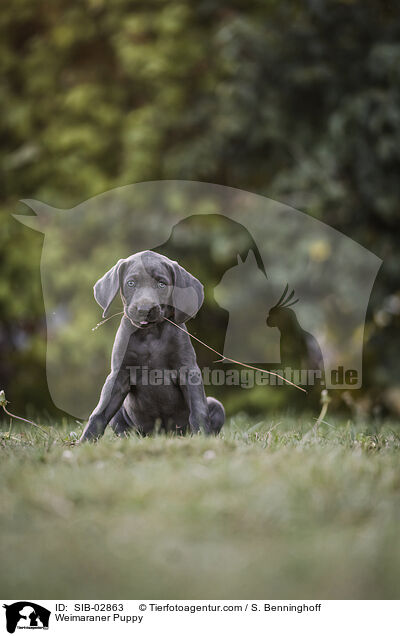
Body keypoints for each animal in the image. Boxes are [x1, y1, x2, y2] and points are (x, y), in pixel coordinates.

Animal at [79, 250, 223, 442]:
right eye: (131, 283)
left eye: (161, 284)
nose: (144, 309)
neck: (150, 335)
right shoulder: (119, 374)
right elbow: (99, 413)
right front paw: (85, 441)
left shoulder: (188, 370)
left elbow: (198, 411)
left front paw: (203, 438)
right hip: (121, 414)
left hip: (215, 405)